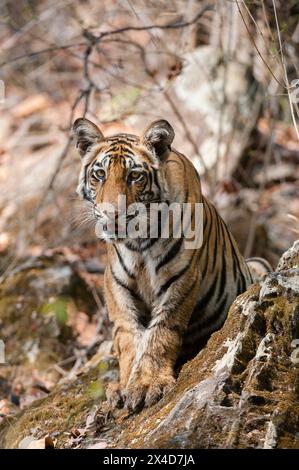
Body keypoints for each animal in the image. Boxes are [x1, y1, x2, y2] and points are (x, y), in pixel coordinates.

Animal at [72, 117, 270, 412]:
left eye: (134, 176)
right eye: (99, 174)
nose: (111, 213)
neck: (137, 241)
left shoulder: (181, 278)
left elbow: (161, 333)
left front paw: (147, 384)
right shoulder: (115, 283)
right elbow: (127, 336)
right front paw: (124, 384)